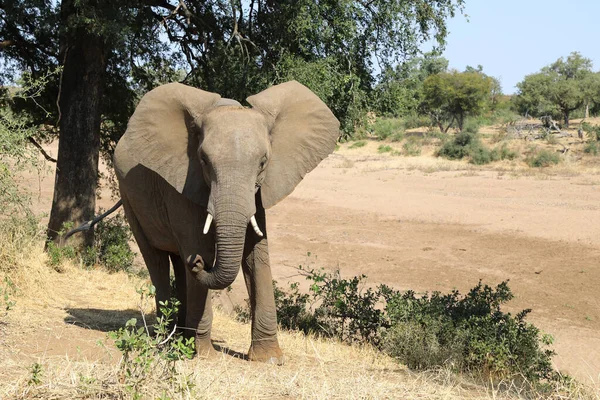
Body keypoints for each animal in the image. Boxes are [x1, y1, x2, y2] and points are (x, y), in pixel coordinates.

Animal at [110, 80, 340, 362]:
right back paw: (167, 340)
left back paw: (179, 336)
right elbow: (198, 244)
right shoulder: (183, 182)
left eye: (263, 162)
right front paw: (204, 355)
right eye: (204, 161)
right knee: (156, 259)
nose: (198, 263)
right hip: (128, 196)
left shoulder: (257, 193)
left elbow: (256, 254)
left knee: (178, 261)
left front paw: (269, 359)